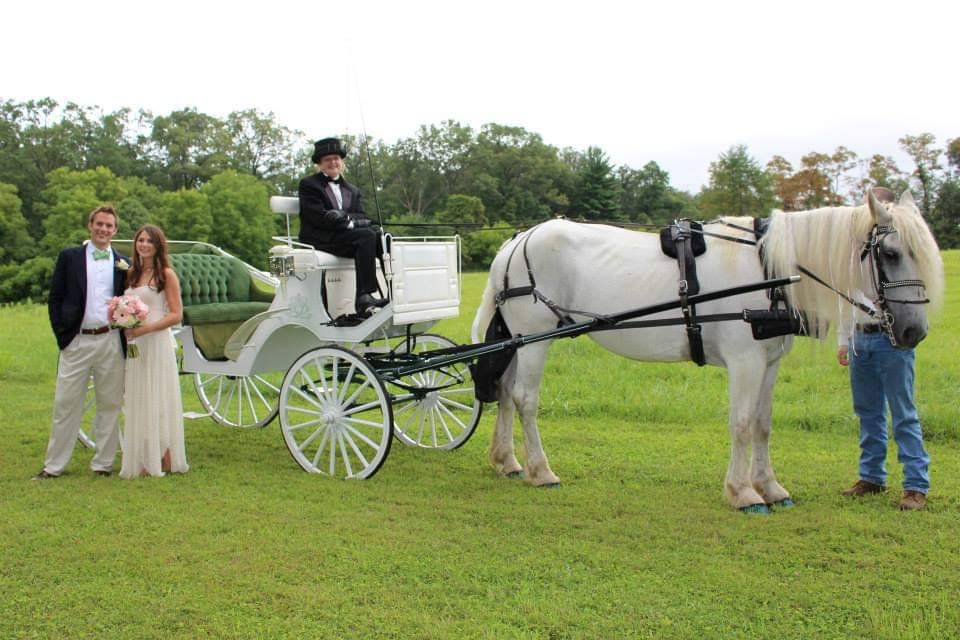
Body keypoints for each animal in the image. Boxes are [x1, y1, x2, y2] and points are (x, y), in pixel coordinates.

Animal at [472, 190, 944, 510]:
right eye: (890, 252)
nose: (914, 331)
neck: (768, 268)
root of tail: (515, 241)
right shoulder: (745, 361)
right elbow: (741, 424)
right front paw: (743, 493)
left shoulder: (769, 361)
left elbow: (763, 425)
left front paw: (771, 487)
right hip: (536, 336)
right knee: (525, 399)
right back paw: (540, 470)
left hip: (518, 340)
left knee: (505, 393)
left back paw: (507, 461)